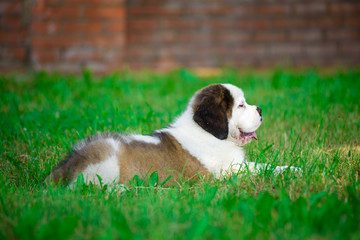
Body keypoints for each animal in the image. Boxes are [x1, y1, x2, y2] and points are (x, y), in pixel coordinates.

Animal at [47, 83, 300, 187]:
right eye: (241, 105)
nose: (260, 109)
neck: (209, 133)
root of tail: (68, 163)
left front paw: (292, 169)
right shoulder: (227, 170)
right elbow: (259, 168)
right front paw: (291, 170)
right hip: (108, 155)